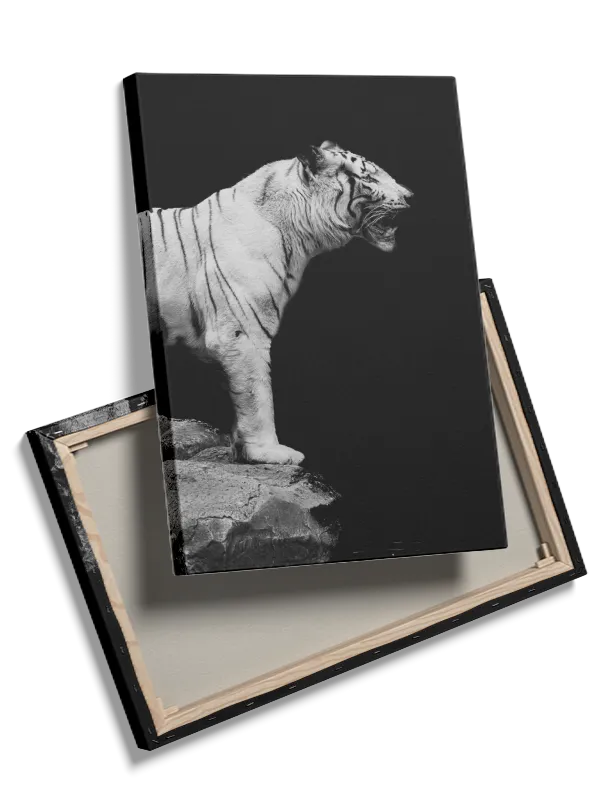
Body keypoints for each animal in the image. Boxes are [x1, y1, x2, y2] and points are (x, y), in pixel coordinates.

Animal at [137, 141, 412, 465]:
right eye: (369, 177)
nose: (410, 196)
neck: (298, 236)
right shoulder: (242, 333)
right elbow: (257, 394)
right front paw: (268, 451)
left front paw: (242, 451)